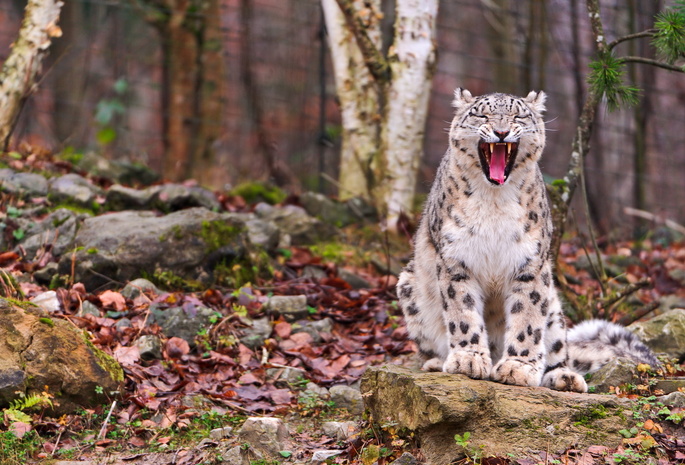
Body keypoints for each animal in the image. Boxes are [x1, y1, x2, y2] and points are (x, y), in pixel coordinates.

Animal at [396, 88, 656, 392]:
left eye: (518, 116)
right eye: (482, 115)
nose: (501, 131)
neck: (494, 199)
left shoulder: (530, 263)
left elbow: (527, 318)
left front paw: (517, 368)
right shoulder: (456, 260)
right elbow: (463, 313)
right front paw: (468, 359)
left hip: (553, 307)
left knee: (558, 349)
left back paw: (564, 377)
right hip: (409, 286)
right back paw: (438, 362)